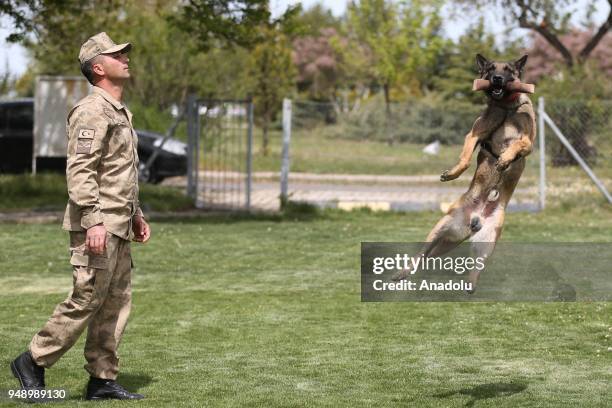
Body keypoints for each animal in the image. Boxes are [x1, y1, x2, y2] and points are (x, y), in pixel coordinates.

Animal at [394, 54, 532, 292]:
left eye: (508, 69)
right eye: (490, 69)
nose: (497, 79)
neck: (505, 107)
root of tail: (474, 219)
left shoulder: (528, 142)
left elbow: (516, 145)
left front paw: (505, 159)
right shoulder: (474, 135)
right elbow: (466, 158)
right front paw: (452, 174)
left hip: (487, 241)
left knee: (476, 266)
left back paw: (470, 284)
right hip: (441, 229)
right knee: (422, 254)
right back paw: (403, 273)